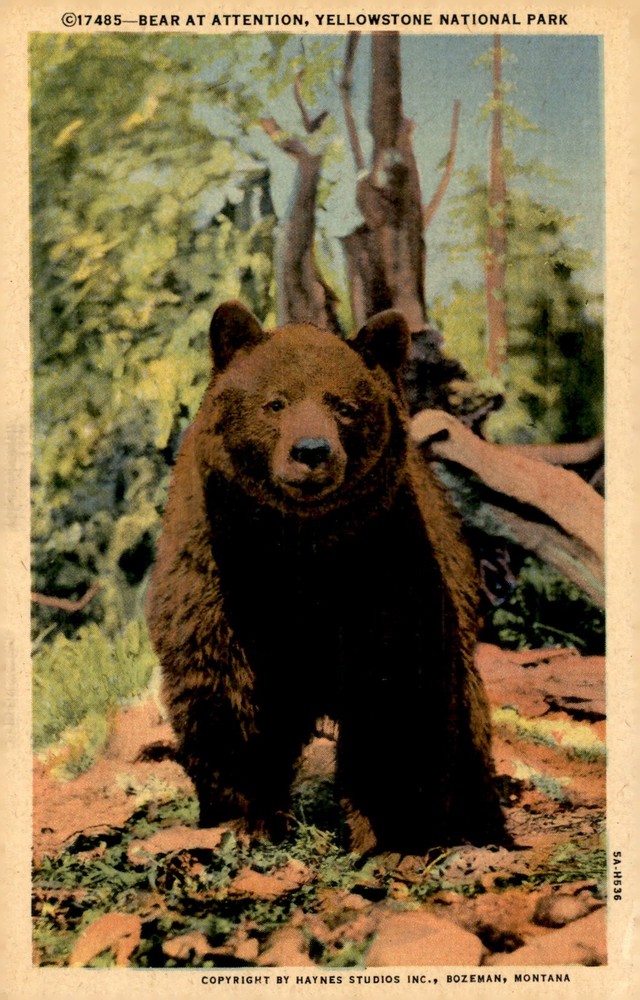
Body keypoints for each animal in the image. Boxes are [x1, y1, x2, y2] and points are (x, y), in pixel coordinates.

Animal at [146, 300, 508, 854]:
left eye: (344, 405)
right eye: (275, 402)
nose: (311, 450)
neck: (300, 545)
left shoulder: (385, 571)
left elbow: (396, 696)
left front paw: (389, 830)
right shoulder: (221, 572)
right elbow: (225, 692)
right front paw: (246, 818)